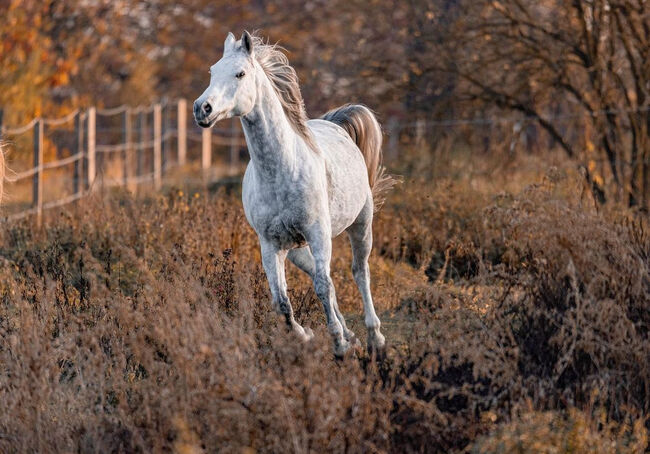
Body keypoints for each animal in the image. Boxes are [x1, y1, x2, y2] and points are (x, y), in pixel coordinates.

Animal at [192, 32, 394, 358]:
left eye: (240, 74)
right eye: (212, 72)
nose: (202, 109)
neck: (281, 171)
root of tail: (335, 124)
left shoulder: (319, 233)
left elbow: (324, 286)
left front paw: (338, 345)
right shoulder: (270, 244)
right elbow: (282, 302)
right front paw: (308, 335)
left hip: (361, 224)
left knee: (359, 272)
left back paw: (374, 337)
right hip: (296, 248)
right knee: (316, 274)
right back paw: (352, 335)